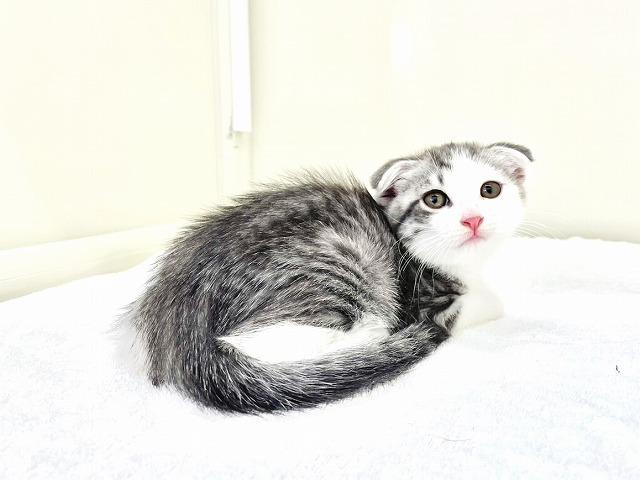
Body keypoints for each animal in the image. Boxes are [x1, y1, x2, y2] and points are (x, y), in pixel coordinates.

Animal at [119, 142, 533, 413]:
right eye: (435, 199)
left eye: (490, 190)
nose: (473, 219)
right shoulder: (427, 301)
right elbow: (486, 302)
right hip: (341, 266)